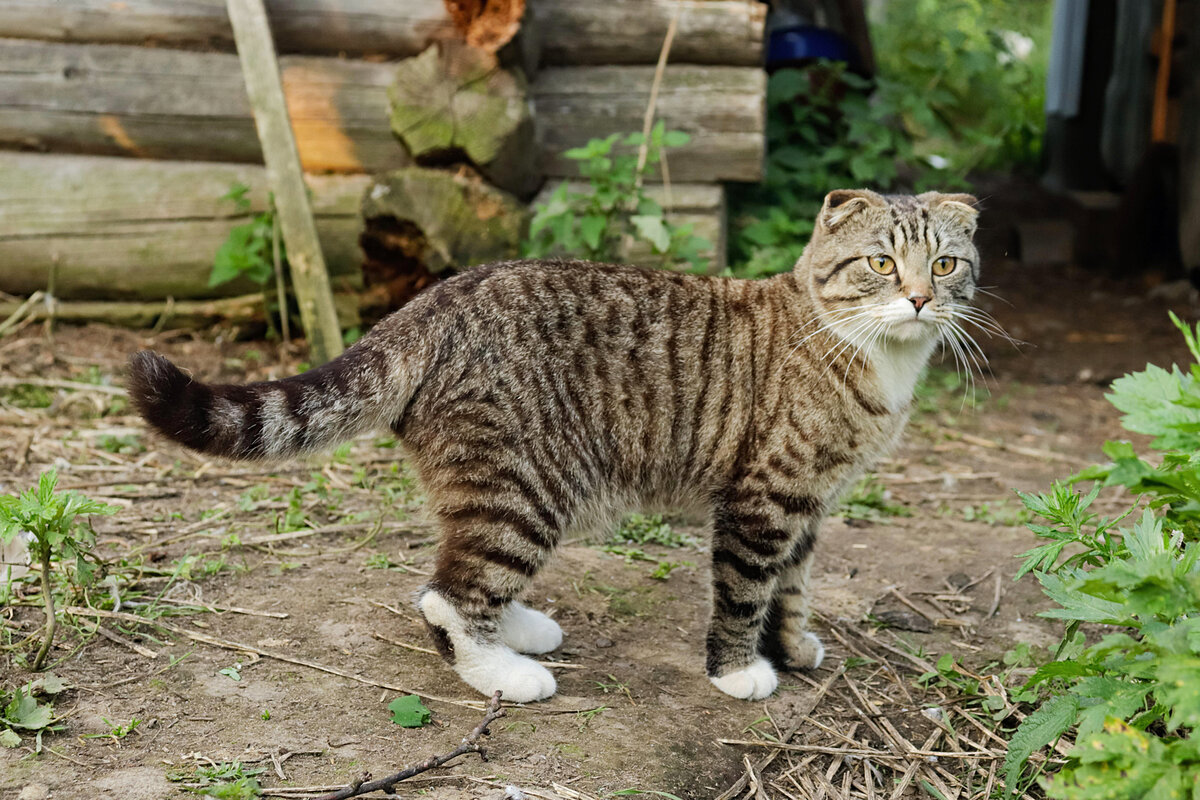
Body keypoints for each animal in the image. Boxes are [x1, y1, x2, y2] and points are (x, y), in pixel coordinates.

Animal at [126, 188, 979, 700]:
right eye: (879, 263)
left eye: (945, 263)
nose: (919, 297)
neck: (870, 354)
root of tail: (429, 301)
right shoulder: (763, 499)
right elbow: (743, 593)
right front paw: (741, 670)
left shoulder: (809, 504)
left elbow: (790, 587)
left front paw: (791, 644)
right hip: (525, 489)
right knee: (447, 594)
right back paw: (503, 671)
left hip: (502, 492)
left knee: (464, 574)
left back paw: (520, 632)